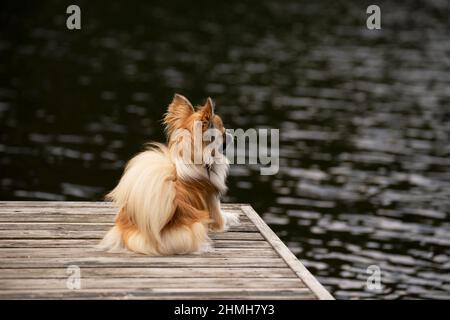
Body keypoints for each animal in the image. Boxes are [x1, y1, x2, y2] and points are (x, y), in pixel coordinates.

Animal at [99, 93, 239, 255]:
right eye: (222, 131)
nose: (230, 133)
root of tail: (144, 233)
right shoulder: (214, 205)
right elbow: (224, 218)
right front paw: (233, 216)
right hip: (196, 227)